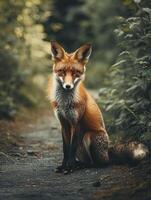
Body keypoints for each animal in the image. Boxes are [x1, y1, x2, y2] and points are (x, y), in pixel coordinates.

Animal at [47, 41, 149, 173]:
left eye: (75, 73)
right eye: (62, 72)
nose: (68, 86)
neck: (65, 103)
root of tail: (108, 152)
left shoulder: (76, 122)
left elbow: (71, 148)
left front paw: (70, 167)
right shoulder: (64, 123)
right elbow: (66, 149)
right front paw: (64, 166)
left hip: (89, 136)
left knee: (99, 163)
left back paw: (82, 166)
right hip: (81, 147)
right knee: (87, 160)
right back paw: (79, 164)